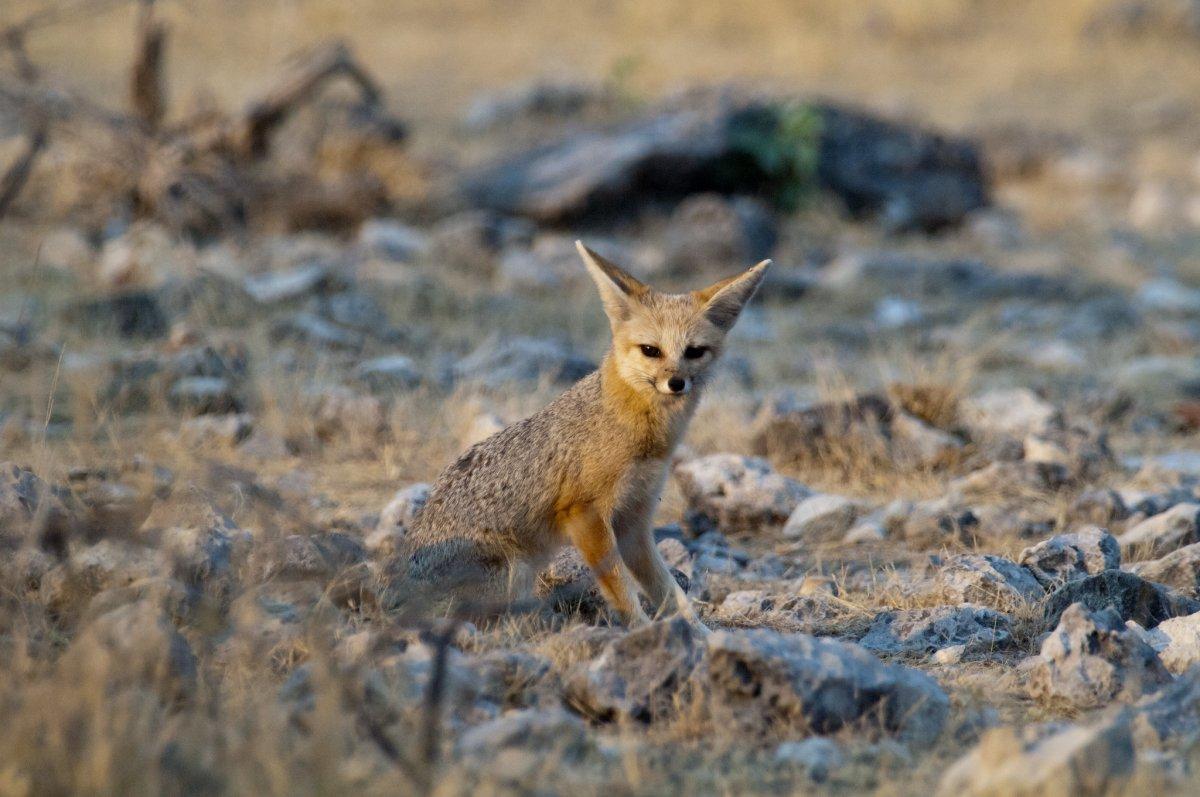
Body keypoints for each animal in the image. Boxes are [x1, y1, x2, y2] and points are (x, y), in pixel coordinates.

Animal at [403, 240, 772, 624]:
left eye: (695, 352)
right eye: (651, 351)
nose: (676, 383)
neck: (641, 434)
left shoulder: (634, 521)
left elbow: (669, 591)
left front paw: (697, 633)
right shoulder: (586, 514)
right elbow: (622, 590)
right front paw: (642, 630)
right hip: (514, 569)